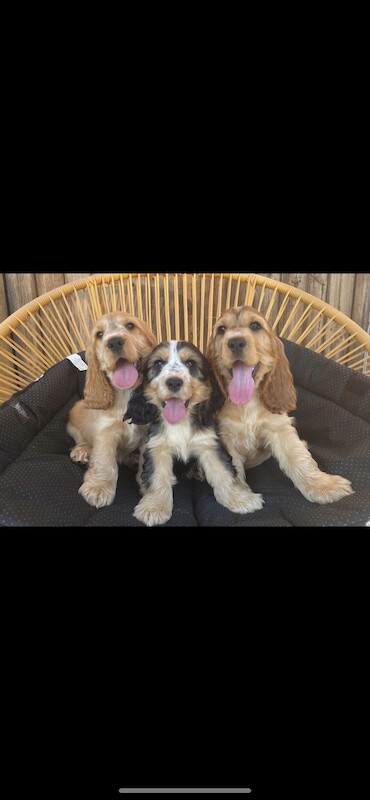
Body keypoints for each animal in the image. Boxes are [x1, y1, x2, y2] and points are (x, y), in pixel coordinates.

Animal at [66, 310, 156, 506]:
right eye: (99, 335)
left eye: (130, 325)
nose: (114, 342)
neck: (126, 394)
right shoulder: (105, 432)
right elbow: (105, 461)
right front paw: (98, 489)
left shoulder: (148, 431)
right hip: (75, 417)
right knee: (82, 441)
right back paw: (81, 452)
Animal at [123, 338, 264, 524]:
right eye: (159, 363)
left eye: (190, 363)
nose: (174, 382)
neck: (179, 423)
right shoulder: (156, 448)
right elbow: (157, 477)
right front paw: (154, 508)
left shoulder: (208, 444)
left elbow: (224, 472)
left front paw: (241, 500)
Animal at [207, 304, 354, 504]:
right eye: (221, 330)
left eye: (255, 325)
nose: (235, 342)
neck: (247, 404)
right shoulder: (226, 436)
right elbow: (232, 467)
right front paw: (239, 497)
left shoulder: (279, 428)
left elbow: (299, 458)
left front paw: (324, 486)